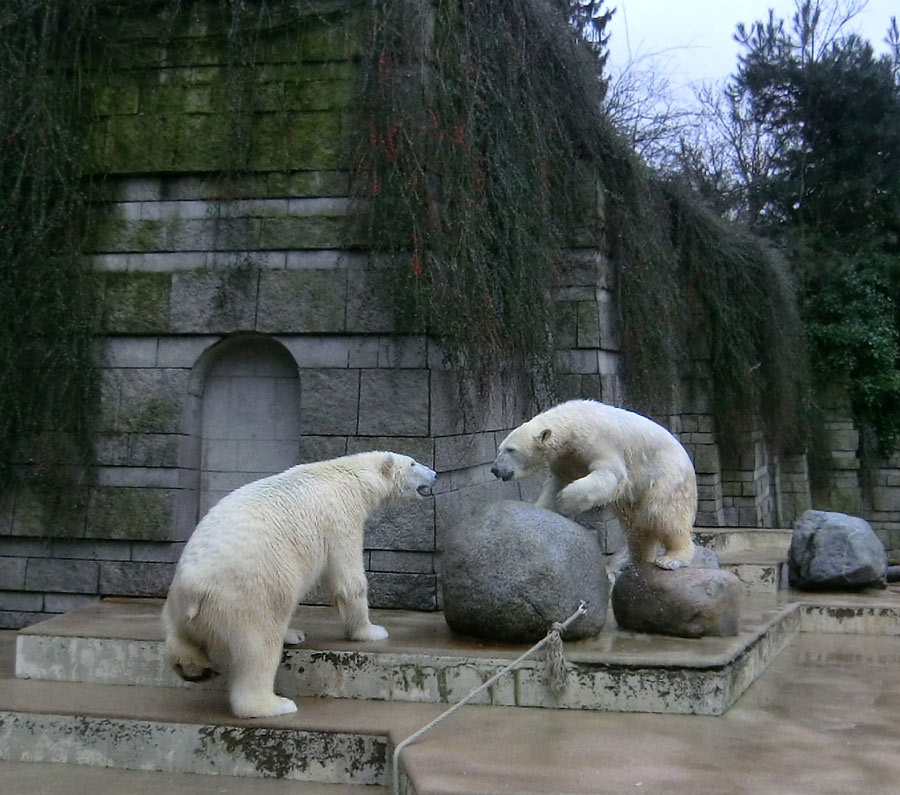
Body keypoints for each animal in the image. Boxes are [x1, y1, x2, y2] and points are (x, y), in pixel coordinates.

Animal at [168, 450, 440, 720]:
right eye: (413, 463)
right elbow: (347, 579)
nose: (435, 473)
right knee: (260, 645)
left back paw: (198, 669)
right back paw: (274, 704)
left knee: (182, 646)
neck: (349, 475)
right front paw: (371, 631)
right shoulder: (341, 518)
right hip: (245, 595)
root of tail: (192, 592)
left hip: (176, 610)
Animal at [492, 404, 696, 572]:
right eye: (500, 448)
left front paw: (565, 501)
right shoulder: (567, 458)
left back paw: (671, 558)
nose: (494, 469)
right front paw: (542, 509)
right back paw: (636, 559)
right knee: (636, 526)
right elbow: (557, 483)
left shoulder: (598, 442)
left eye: (511, 450)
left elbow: (611, 474)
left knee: (663, 514)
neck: (574, 424)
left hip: (665, 476)